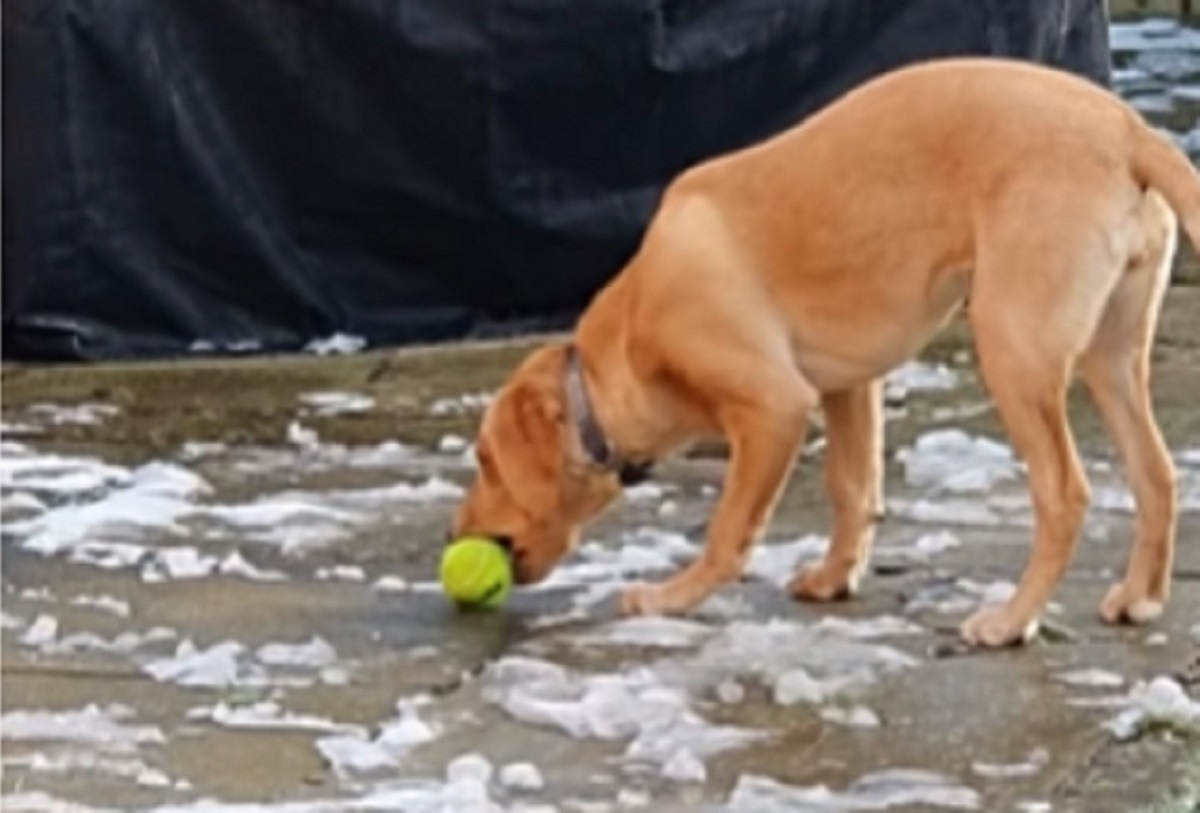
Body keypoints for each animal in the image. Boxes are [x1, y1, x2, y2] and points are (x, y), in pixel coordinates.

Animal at [451, 55, 1200, 647]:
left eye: (485, 462)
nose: (458, 529)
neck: (627, 345)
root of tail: (1129, 129)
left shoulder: (773, 407)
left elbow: (728, 529)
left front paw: (671, 597)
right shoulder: (850, 384)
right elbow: (852, 487)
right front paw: (835, 577)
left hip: (1013, 346)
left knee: (1065, 493)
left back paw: (1012, 620)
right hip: (1111, 355)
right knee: (1156, 473)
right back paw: (1139, 598)